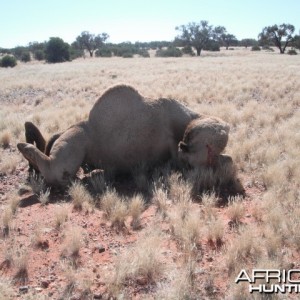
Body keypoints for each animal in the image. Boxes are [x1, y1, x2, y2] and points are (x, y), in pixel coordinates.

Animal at [17, 84, 230, 186]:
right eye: (205, 148)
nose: (183, 148)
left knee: (56, 172)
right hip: (77, 140)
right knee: (56, 170)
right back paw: (25, 145)